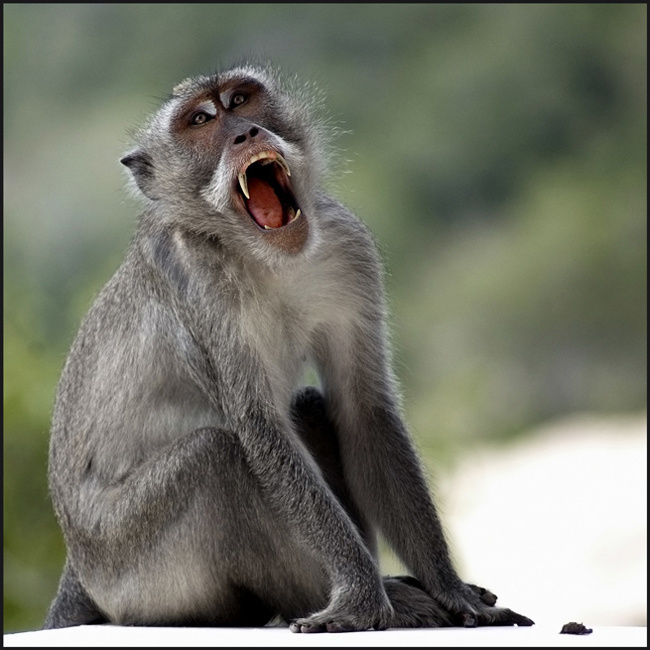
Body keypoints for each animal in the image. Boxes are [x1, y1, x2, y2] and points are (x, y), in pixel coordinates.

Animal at [43, 63, 533, 633]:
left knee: (311, 409)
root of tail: (79, 568)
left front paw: (450, 588)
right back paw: (358, 597)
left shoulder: (348, 248)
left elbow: (363, 410)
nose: (245, 133)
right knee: (216, 457)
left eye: (239, 100)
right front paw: (361, 599)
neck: (262, 254)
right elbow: (260, 430)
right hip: (133, 568)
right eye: (201, 120)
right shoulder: (196, 277)